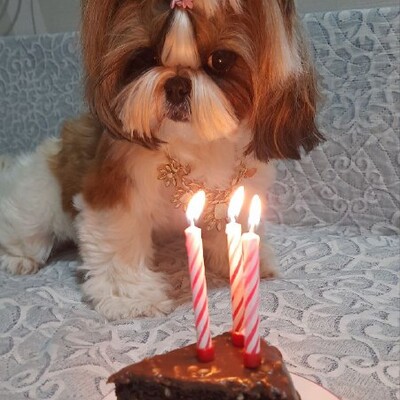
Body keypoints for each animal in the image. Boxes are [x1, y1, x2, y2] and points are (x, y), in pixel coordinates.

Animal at [0, 0, 323, 320]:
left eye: (220, 60)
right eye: (146, 56)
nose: (177, 84)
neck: (190, 145)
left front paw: (240, 259)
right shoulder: (116, 189)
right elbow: (120, 239)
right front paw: (130, 297)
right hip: (37, 204)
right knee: (26, 232)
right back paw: (20, 258)